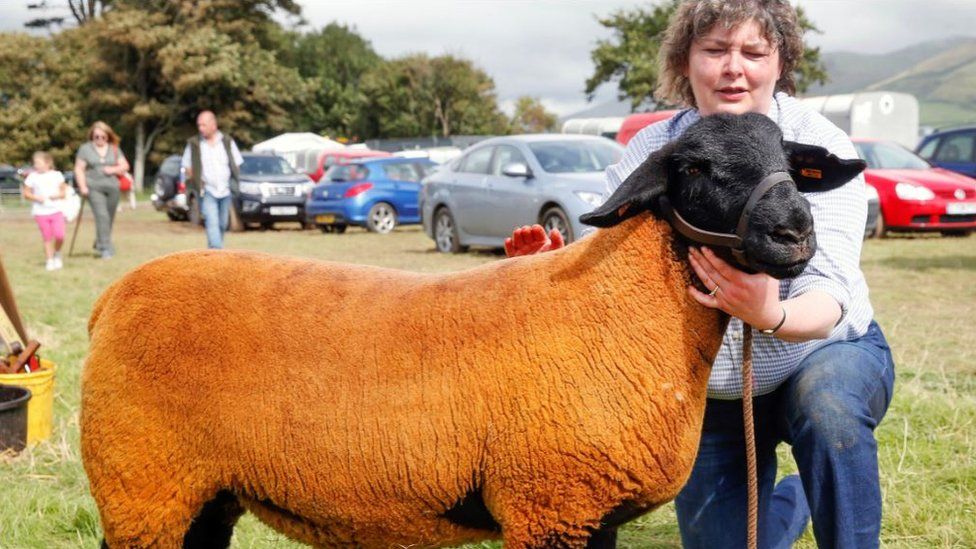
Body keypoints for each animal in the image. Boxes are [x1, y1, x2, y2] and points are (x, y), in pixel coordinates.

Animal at [84, 112, 860, 548]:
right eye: (694, 166)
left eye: (791, 165)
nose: (794, 232)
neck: (620, 310)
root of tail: (115, 296)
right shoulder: (547, 505)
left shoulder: (591, 514)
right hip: (140, 486)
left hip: (202, 496)